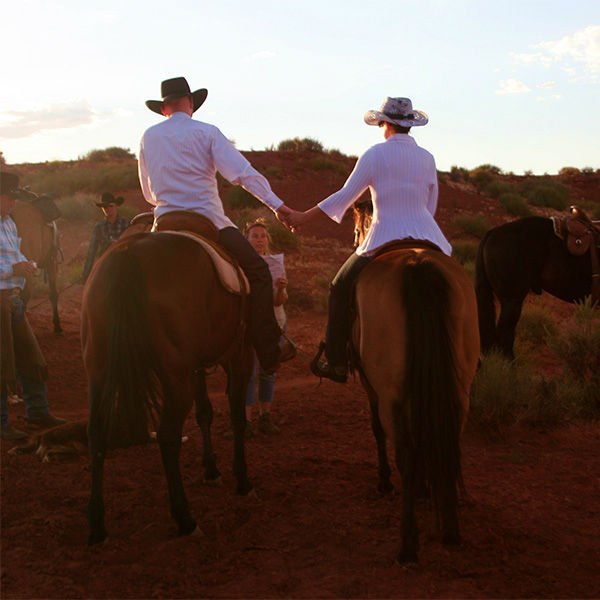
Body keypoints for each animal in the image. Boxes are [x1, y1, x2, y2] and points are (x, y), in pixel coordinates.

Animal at [81, 229, 253, 544]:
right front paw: (242, 480)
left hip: (98, 370)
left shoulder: (197, 366)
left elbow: (205, 412)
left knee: (97, 433)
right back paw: (185, 518)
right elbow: (237, 415)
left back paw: (97, 525)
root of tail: (128, 253)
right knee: (168, 437)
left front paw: (211, 469)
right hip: (176, 378)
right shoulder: (240, 355)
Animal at [352, 205, 478, 564]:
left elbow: (378, 430)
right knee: (449, 440)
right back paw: (450, 527)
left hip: (391, 395)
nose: (356, 240)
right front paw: (425, 491)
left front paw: (386, 482)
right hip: (460, 387)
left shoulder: (372, 386)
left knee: (404, 454)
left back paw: (408, 544)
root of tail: (418, 267)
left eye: (356, 232)